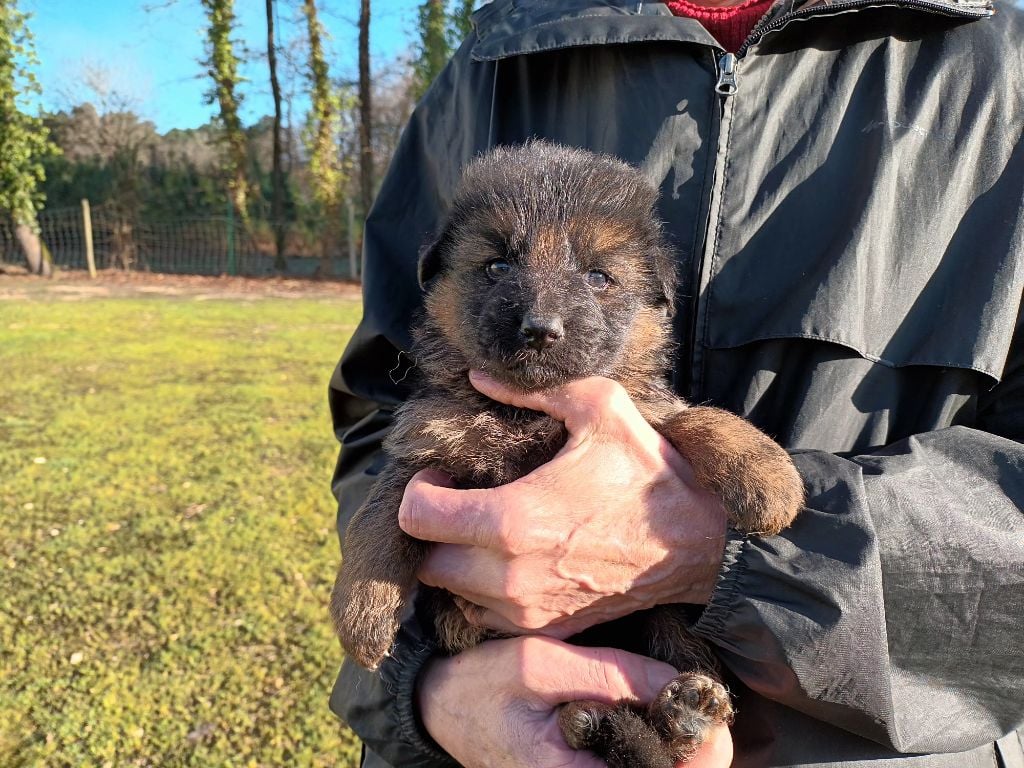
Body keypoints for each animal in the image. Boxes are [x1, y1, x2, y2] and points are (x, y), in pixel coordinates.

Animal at [331, 141, 802, 765]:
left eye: (599, 276)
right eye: (498, 265)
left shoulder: (642, 409)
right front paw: (361, 607)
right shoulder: (429, 444)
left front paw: (765, 470)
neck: (530, 414)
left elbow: (690, 415)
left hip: (665, 622)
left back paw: (680, 714)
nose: (540, 330)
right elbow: (380, 514)